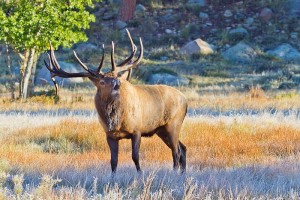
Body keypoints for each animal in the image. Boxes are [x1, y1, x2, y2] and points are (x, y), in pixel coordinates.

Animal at [44, 30, 188, 173]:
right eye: (102, 82)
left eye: (116, 77)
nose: (117, 83)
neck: (115, 121)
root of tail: (185, 100)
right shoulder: (110, 135)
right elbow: (113, 161)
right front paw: (113, 176)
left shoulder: (137, 129)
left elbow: (135, 156)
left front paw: (140, 174)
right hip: (161, 129)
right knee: (182, 148)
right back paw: (182, 173)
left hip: (173, 123)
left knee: (176, 151)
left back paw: (175, 172)